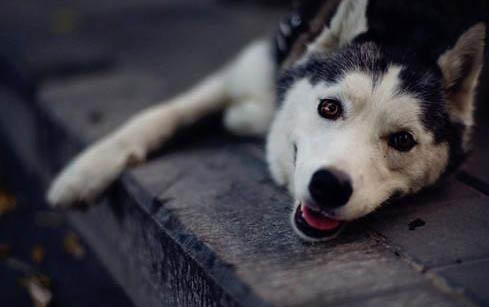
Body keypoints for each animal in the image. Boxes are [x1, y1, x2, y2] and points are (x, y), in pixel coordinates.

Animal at [45, 0, 484, 242]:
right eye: (329, 107)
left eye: (403, 140)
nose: (328, 186)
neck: (408, 30)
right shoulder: (251, 66)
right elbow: (164, 112)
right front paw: (85, 170)